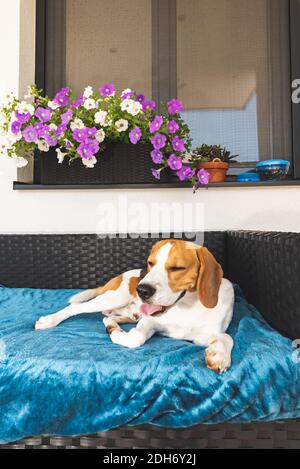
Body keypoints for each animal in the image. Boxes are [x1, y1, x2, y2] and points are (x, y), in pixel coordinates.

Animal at [35, 239, 234, 372]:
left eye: (177, 268)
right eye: (150, 263)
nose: (142, 290)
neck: (187, 307)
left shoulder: (202, 336)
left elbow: (227, 338)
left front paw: (219, 355)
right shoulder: (150, 322)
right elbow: (135, 338)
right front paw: (116, 333)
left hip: (125, 311)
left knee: (109, 315)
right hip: (113, 297)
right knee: (76, 308)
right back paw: (49, 320)